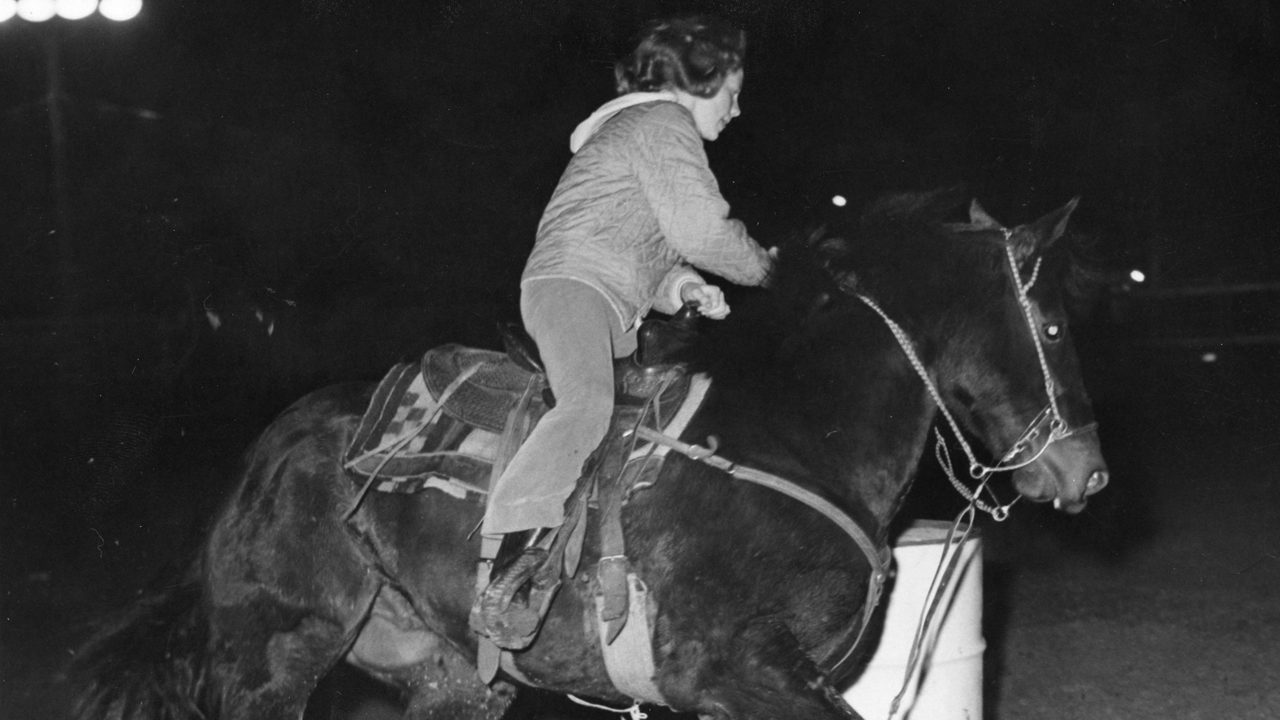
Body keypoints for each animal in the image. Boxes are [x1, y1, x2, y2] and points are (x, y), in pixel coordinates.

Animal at [72, 190, 1111, 717]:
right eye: (1057, 325)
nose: (1089, 472)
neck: (794, 433)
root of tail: (268, 454)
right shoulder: (739, 670)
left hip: (446, 675)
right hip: (273, 659)